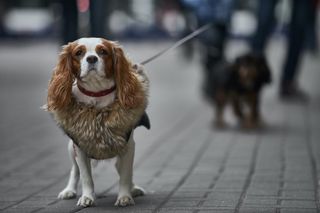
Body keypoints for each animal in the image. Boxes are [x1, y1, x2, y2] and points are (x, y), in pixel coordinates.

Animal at [45, 37, 149, 207]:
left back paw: (134, 189)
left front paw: (125, 197)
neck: (97, 93)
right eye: (79, 53)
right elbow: (86, 177)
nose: (92, 58)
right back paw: (69, 190)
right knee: (75, 170)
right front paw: (87, 198)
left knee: (123, 169)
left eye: (103, 52)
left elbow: (126, 175)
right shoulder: (80, 147)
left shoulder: (128, 146)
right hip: (71, 149)